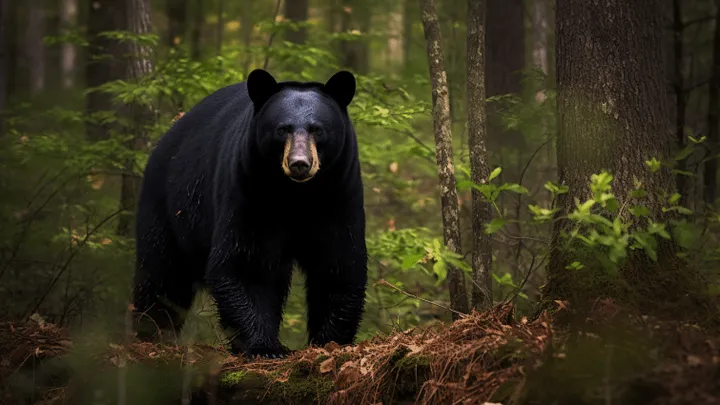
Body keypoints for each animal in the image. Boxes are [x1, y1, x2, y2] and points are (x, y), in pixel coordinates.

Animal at [131, 69, 368, 358]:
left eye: (317, 129)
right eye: (282, 129)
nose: (300, 164)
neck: (296, 195)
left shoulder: (339, 193)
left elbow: (337, 262)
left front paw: (329, 341)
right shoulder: (249, 192)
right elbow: (246, 264)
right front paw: (264, 347)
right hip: (167, 205)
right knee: (162, 272)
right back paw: (151, 331)